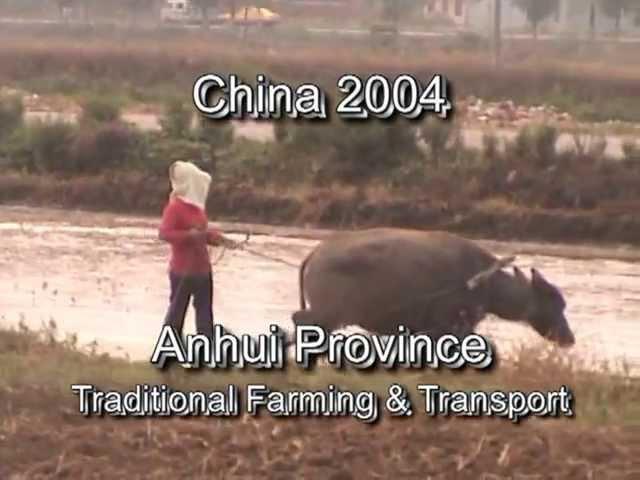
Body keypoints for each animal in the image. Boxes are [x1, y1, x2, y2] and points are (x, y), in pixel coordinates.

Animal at [292, 227, 576, 346]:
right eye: (554, 301)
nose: (569, 339)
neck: (483, 282)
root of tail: (316, 254)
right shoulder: (448, 325)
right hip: (328, 313)